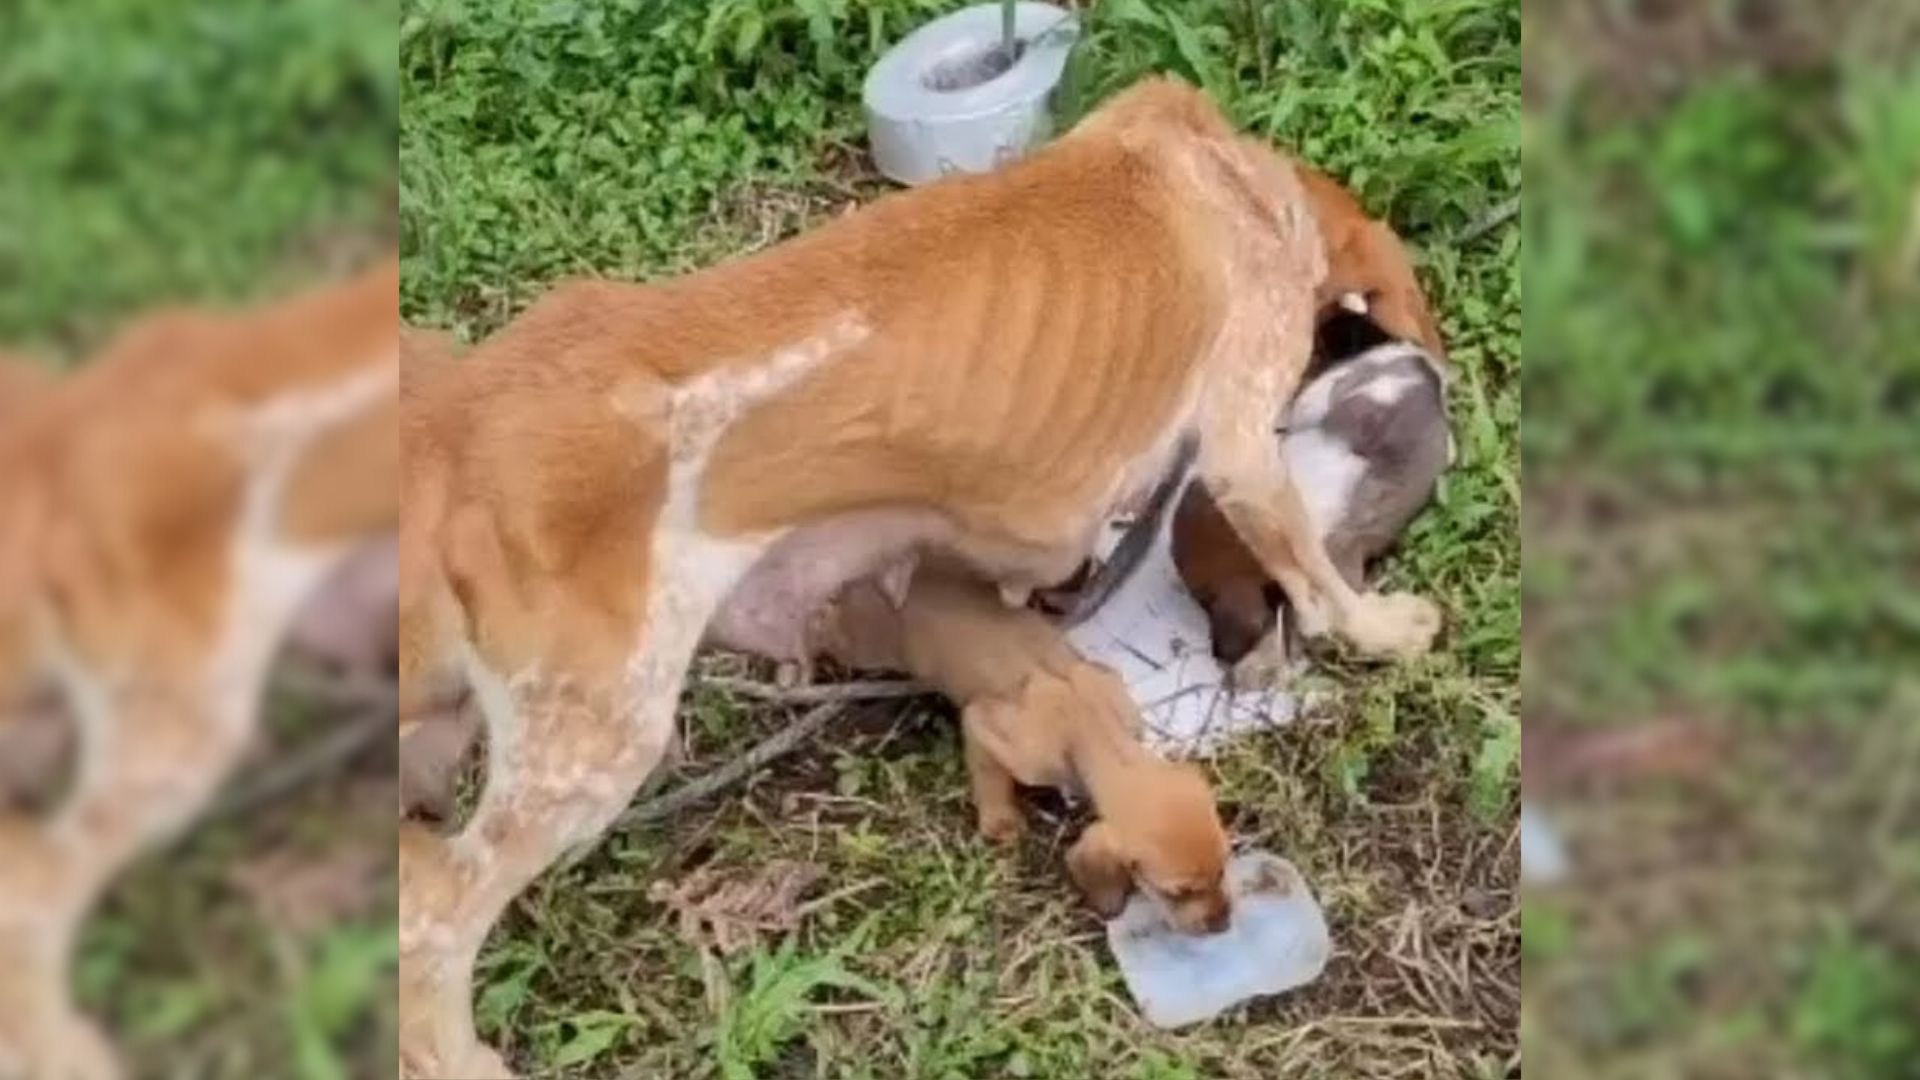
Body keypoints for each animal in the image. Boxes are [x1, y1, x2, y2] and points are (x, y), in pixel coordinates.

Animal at [825, 564, 1228, 933]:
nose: (1222, 925)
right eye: (1177, 892)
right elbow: (989, 777)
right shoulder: (986, 725)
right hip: (862, 649)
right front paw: (1000, 820)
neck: (1088, 727)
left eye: (1224, 867)